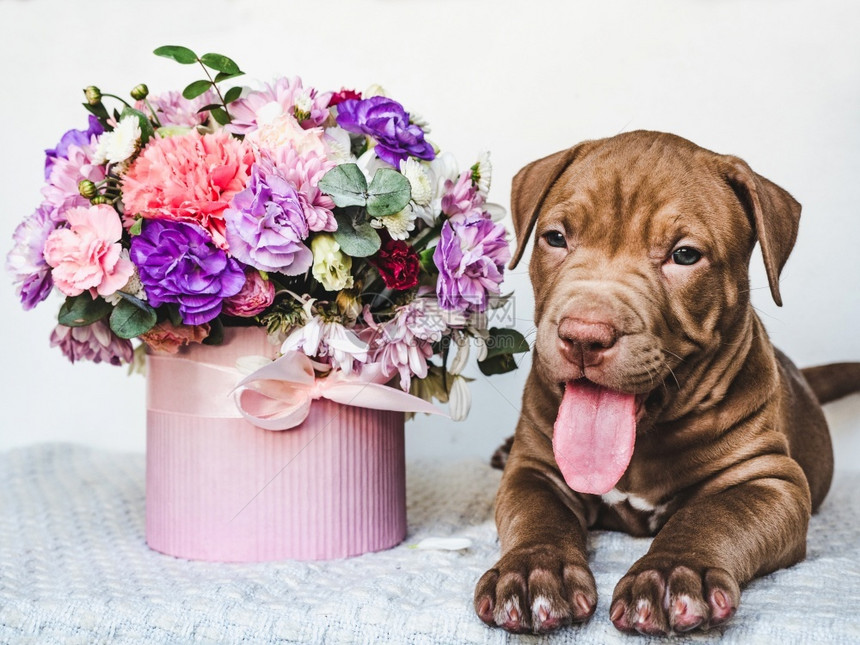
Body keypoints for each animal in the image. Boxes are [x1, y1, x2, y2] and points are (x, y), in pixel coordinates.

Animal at [478, 131, 860, 632]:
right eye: (556, 238)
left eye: (684, 256)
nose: (584, 335)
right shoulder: (536, 469)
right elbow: (537, 513)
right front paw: (532, 571)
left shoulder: (770, 480)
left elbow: (713, 516)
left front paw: (671, 573)